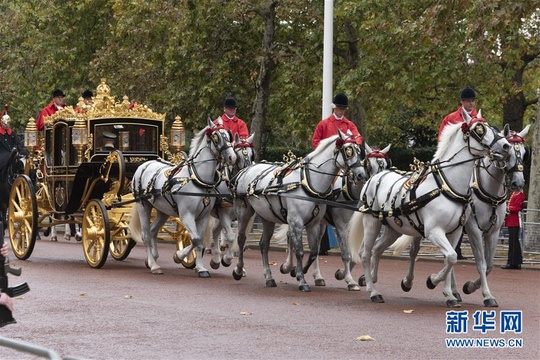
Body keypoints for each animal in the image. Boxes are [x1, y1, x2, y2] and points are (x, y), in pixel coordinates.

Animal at [129, 119, 236, 278]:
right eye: (216, 137)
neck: (198, 179)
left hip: (163, 211)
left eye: (229, 136)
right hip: (143, 206)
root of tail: (145, 164)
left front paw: (200, 267)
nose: (232, 157)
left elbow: (199, 240)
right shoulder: (187, 215)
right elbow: (196, 239)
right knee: (146, 235)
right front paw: (180, 256)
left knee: (153, 231)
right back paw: (154, 265)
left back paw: (152, 258)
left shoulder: (204, 216)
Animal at [231, 131, 362, 292]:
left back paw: (270, 277)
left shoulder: (314, 224)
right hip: (244, 212)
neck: (310, 182)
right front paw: (302, 280)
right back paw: (238, 270)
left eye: (360, 151)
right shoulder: (298, 221)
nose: (361, 174)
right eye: (348, 151)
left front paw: (298, 272)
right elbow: (300, 251)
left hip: (267, 216)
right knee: (241, 239)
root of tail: (246, 169)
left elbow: (314, 251)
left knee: (264, 244)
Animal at [276, 142, 390, 292]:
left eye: (385, 165)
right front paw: (349, 280)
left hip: (319, 224)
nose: (377, 185)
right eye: (368, 164)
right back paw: (288, 267)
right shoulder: (342, 226)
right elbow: (346, 253)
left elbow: (359, 252)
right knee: (291, 237)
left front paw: (345, 274)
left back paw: (316, 276)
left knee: (316, 246)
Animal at [350, 110, 510, 306]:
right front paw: (433, 281)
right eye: (479, 130)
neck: (447, 186)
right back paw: (373, 291)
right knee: (365, 253)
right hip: (372, 223)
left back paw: (372, 280)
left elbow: (451, 259)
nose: (506, 146)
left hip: (393, 228)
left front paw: (449, 294)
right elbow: (455, 258)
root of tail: (374, 177)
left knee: (377, 249)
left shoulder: (457, 232)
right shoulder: (436, 231)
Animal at [390, 123, 528, 306]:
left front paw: (470, 287)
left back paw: (452, 290)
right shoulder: (473, 229)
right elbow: (481, 263)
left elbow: (489, 264)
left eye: (525, 154)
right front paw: (485, 294)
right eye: (509, 152)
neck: (488, 190)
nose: (518, 183)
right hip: (421, 226)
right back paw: (410, 282)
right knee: (414, 252)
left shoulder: (493, 231)